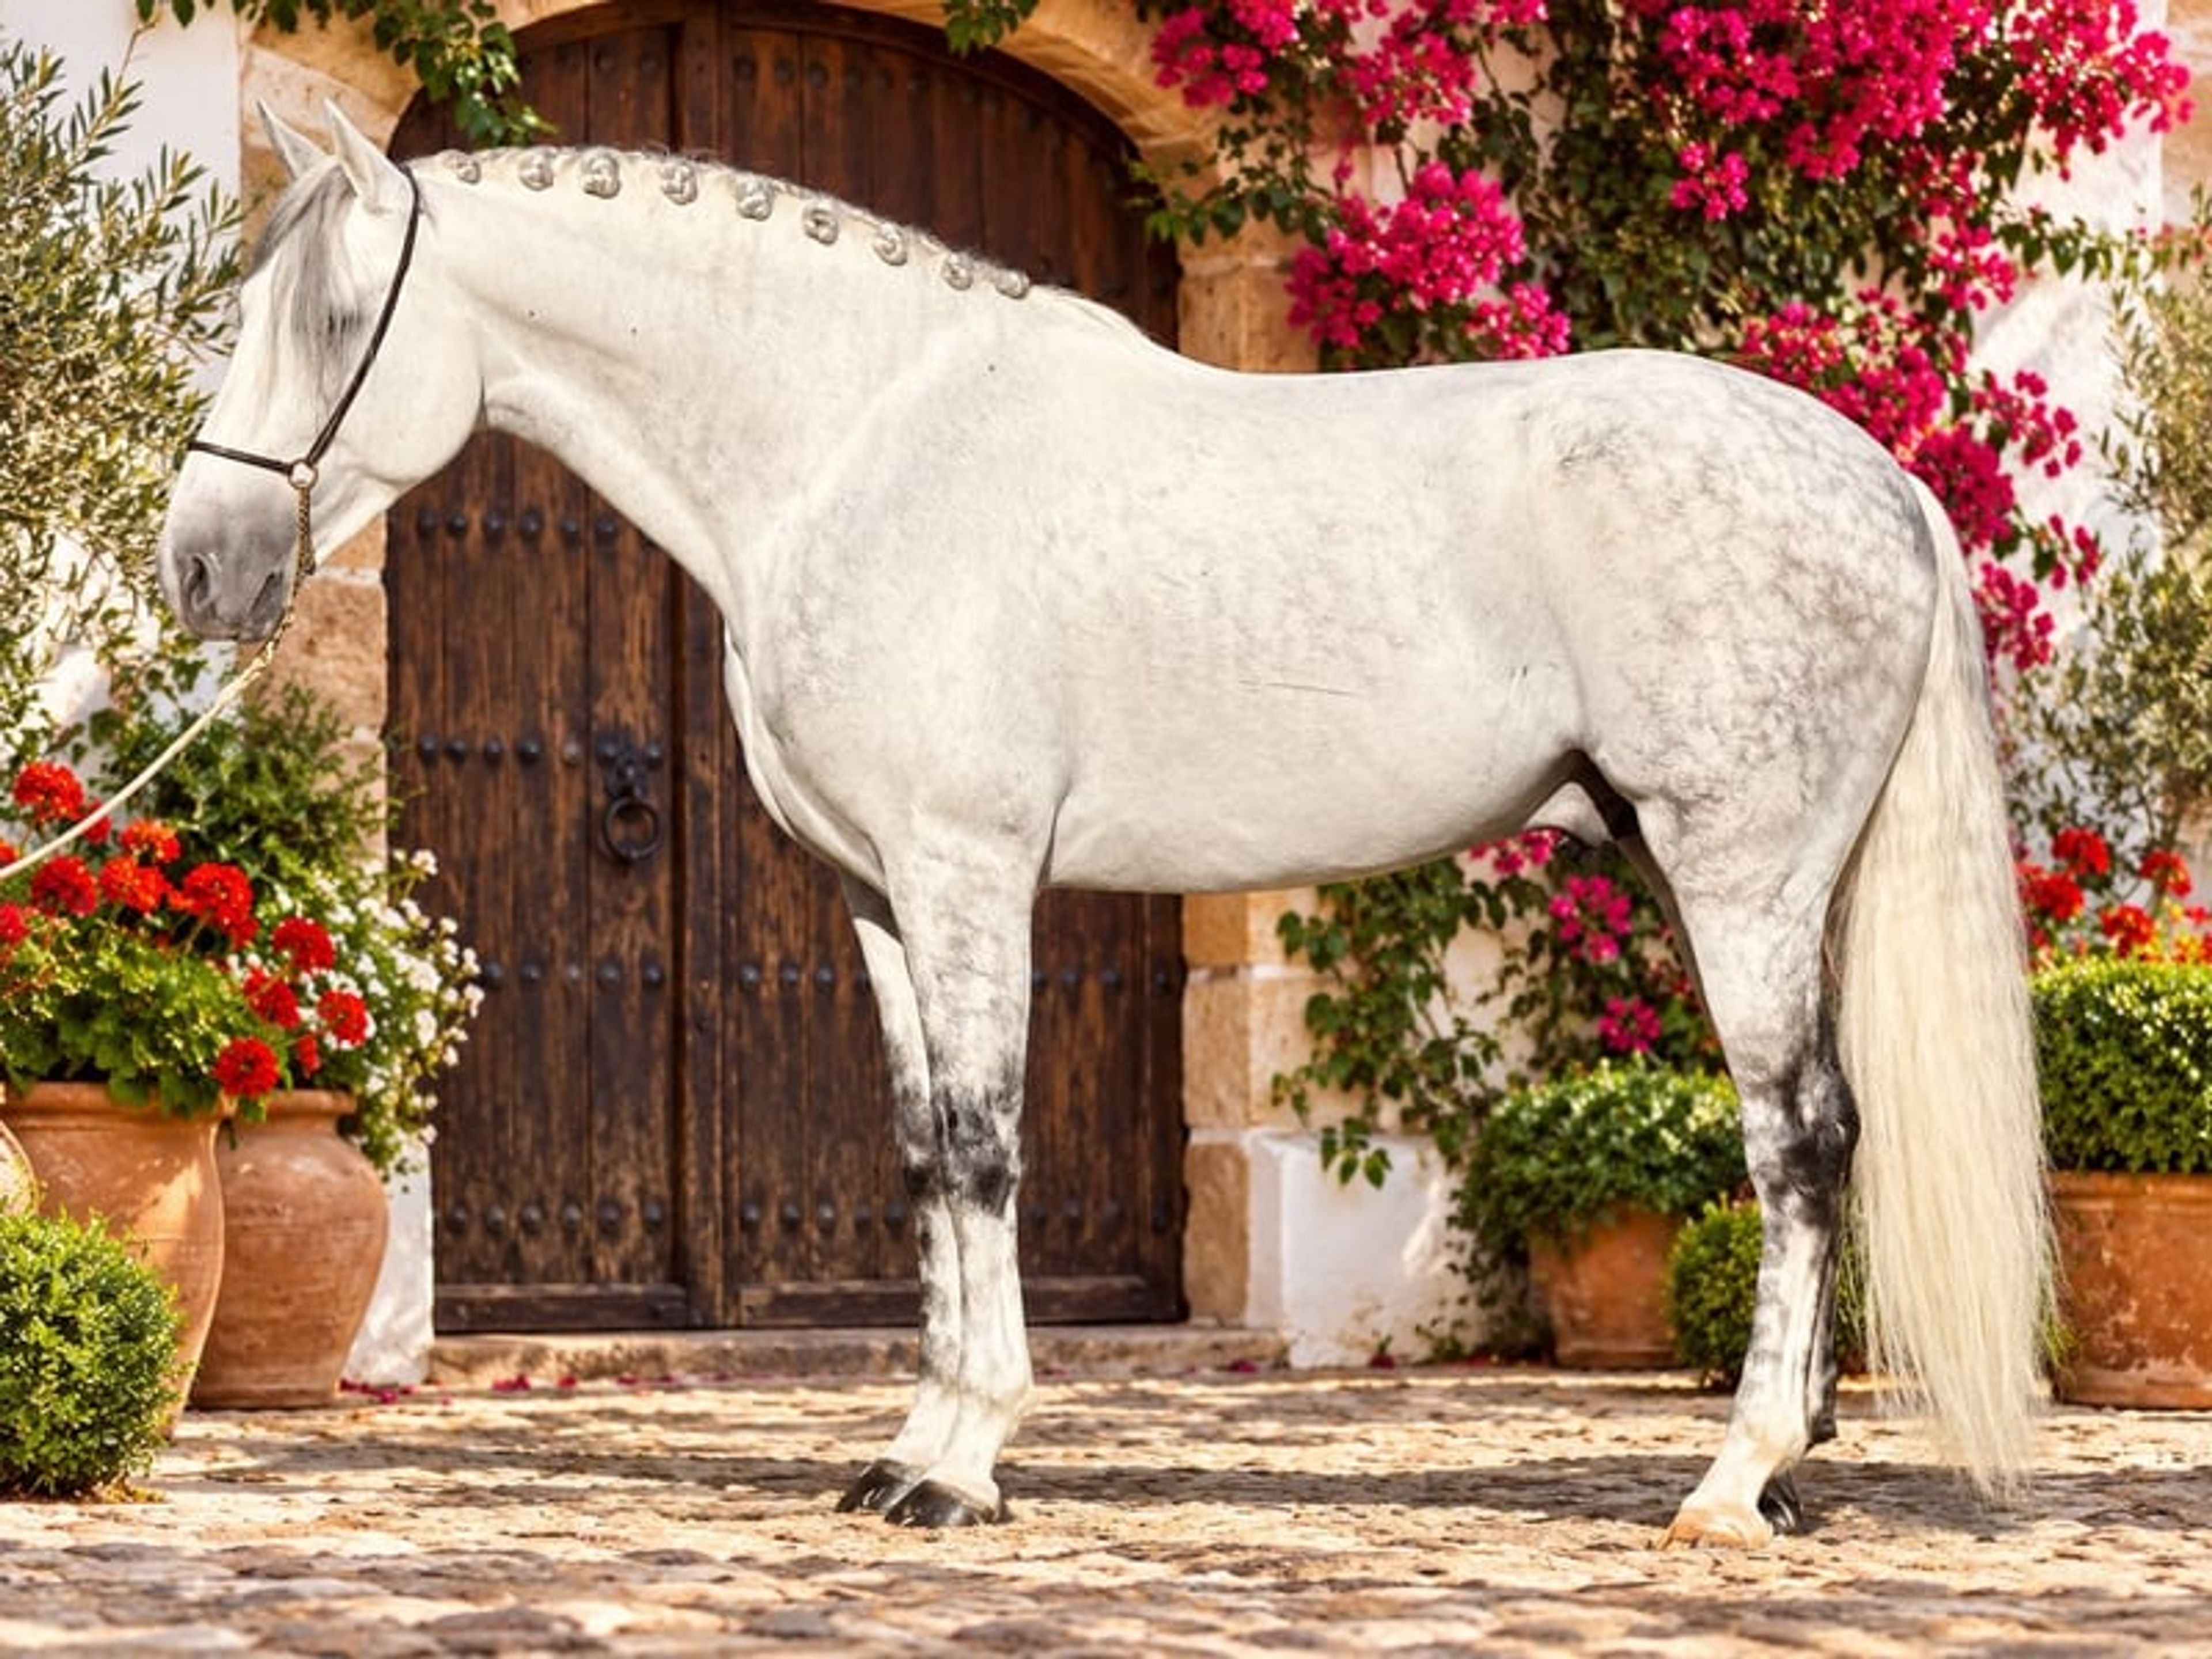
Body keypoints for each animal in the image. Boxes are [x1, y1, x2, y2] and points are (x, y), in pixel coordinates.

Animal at [159, 104, 2050, 1547]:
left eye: (330, 319)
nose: (201, 568)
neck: (849, 447)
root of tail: (1878, 477)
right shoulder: (875, 894)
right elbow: (924, 1152)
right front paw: (914, 1447)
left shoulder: (968, 870)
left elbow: (989, 1144)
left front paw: (964, 1462)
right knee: (1814, 1138)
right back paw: (1787, 1465)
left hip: (1736, 873)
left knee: (1799, 1140)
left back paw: (1731, 1483)